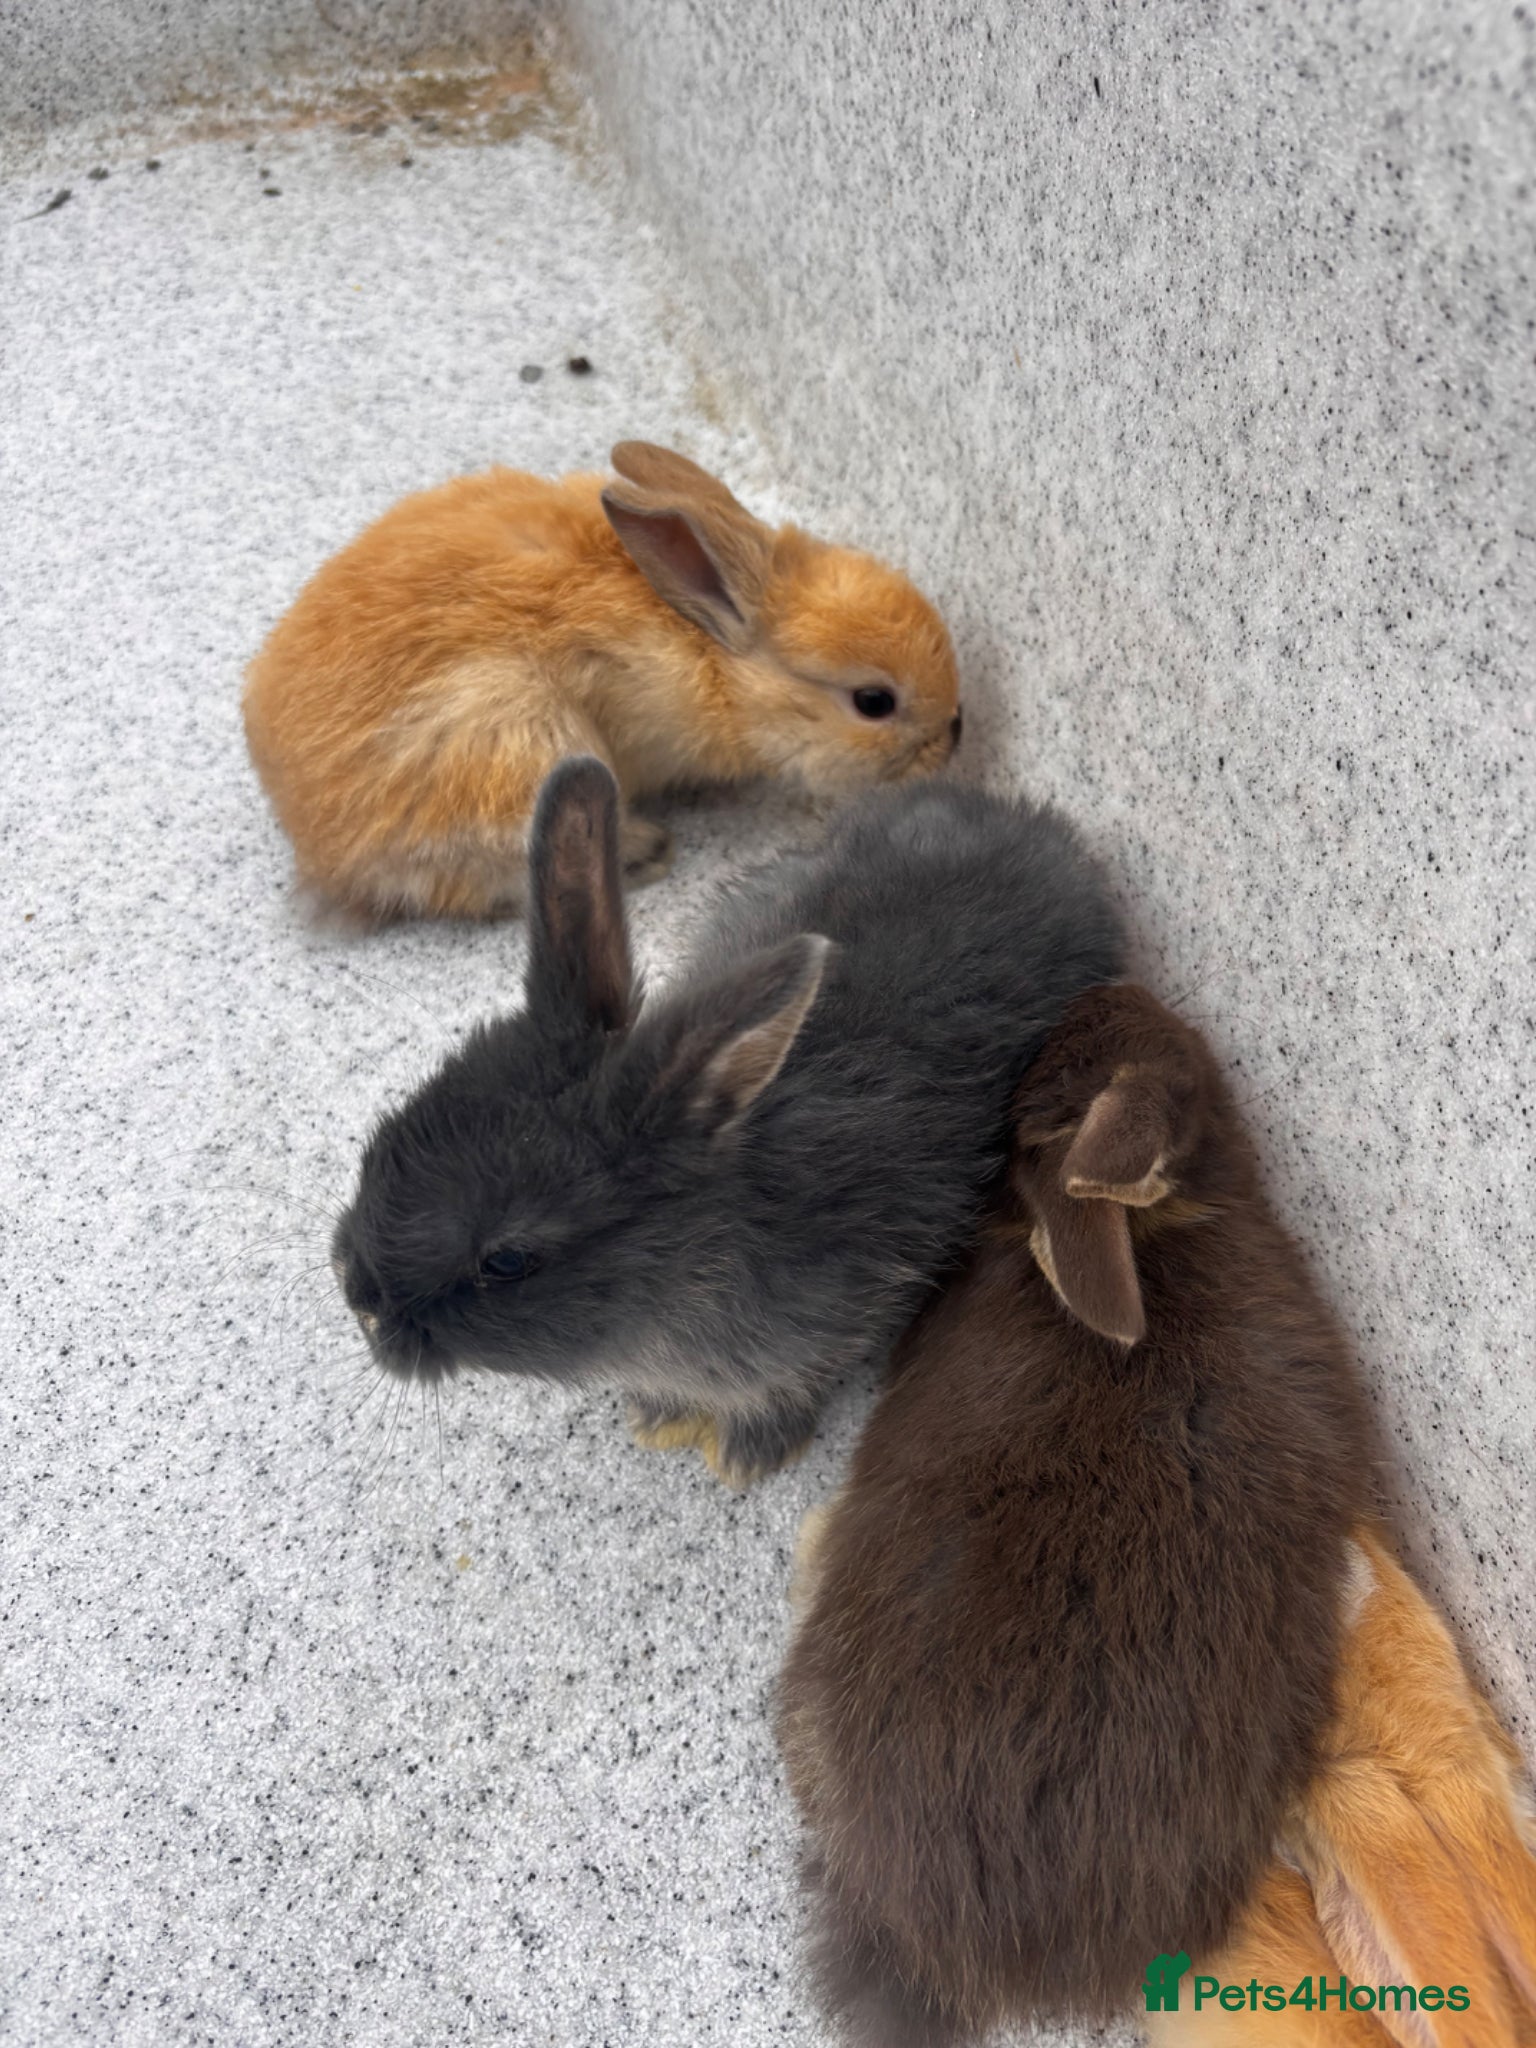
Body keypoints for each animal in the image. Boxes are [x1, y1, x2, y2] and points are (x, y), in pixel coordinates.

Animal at [243, 441, 962, 920]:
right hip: (527, 746)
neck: (716, 653)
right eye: (873, 702)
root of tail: (323, 853)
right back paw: (649, 852)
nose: (953, 735)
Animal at [330, 755, 1124, 1487]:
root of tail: (1035, 825)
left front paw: (749, 1456)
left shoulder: (828, 1324)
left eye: (507, 1260)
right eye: (382, 1141)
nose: (360, 1300)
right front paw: (656, 1419)